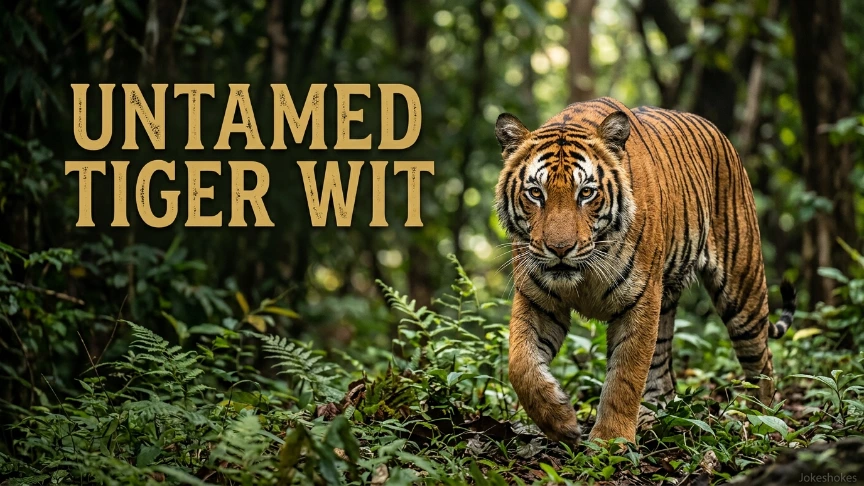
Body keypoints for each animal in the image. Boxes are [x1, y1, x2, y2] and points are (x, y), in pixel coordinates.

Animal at [494, 97, 796, 445]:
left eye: (586, 193)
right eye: (535, 193)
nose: (560, 249)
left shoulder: (639, 300)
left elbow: (625, 376)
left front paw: (610, 441)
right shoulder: (537, 300)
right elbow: (520, 365)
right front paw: (561, 421)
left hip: (742, 288)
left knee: (762, 362)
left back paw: (762, 423)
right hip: (667, 302)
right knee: (662, 370)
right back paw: (654, 419)